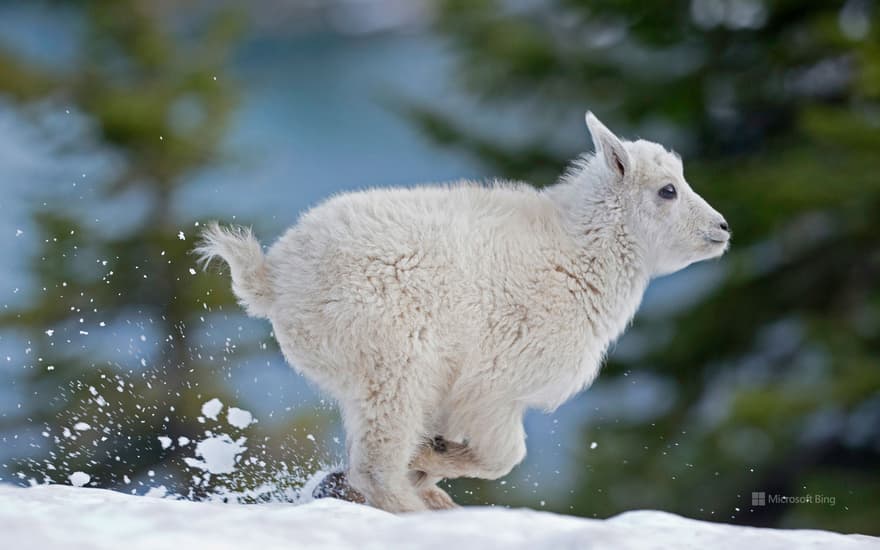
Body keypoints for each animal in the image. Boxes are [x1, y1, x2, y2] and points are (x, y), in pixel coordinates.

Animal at [198, 114, 728, 516]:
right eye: (667, 190)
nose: (722, 228)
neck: (579, 255)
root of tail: (273, 280)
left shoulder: (455, 395)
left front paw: (423, 462)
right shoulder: (494, 387)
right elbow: (505, 457)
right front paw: (428, 459)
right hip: (393, 362)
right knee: (377, 463)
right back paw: (413, 509)